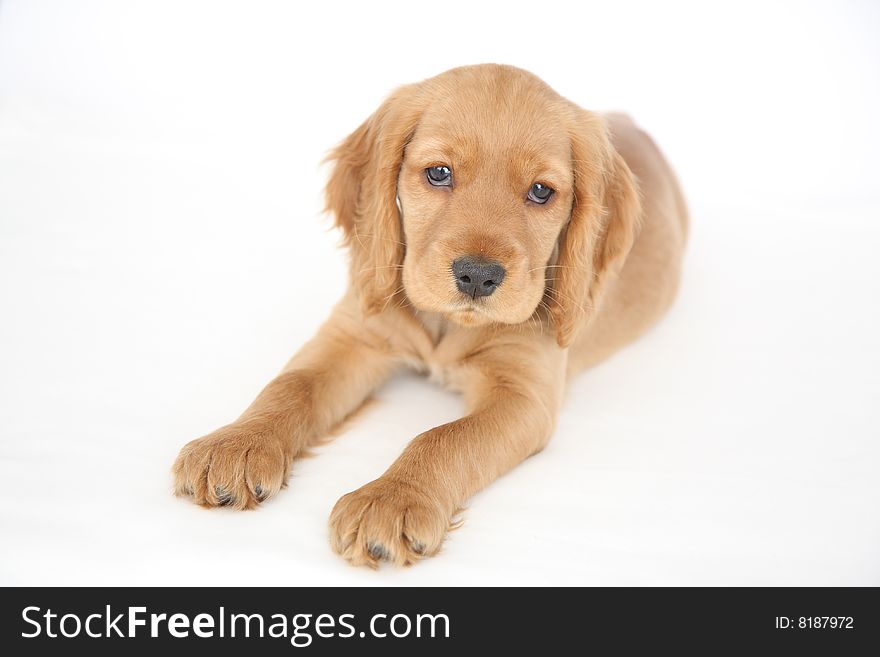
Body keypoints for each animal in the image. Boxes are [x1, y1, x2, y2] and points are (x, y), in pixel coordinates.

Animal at [170, 65, 688, 568]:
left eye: (542, 191)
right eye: (439, 173)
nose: (478, 276)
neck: (447, 325)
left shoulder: (523, 392)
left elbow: (444, 438)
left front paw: (392, 500)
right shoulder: (355, 333)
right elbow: (291, 385)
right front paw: (237, 442)